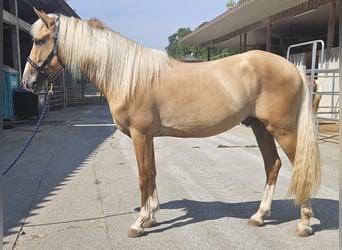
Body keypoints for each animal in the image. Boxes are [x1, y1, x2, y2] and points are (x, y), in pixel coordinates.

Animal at [22, 8, 322, 237]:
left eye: (40, 41)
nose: (28, 82)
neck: (130, 76)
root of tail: (292, 67)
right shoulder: (147, 136)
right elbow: (152, 173)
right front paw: (151, 216)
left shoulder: (140, 134)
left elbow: (143, 176)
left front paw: (139, 223)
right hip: (260, 127)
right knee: (273, 165)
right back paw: (259, 216)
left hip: (283, 130)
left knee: (299, 168)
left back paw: (305, 224)